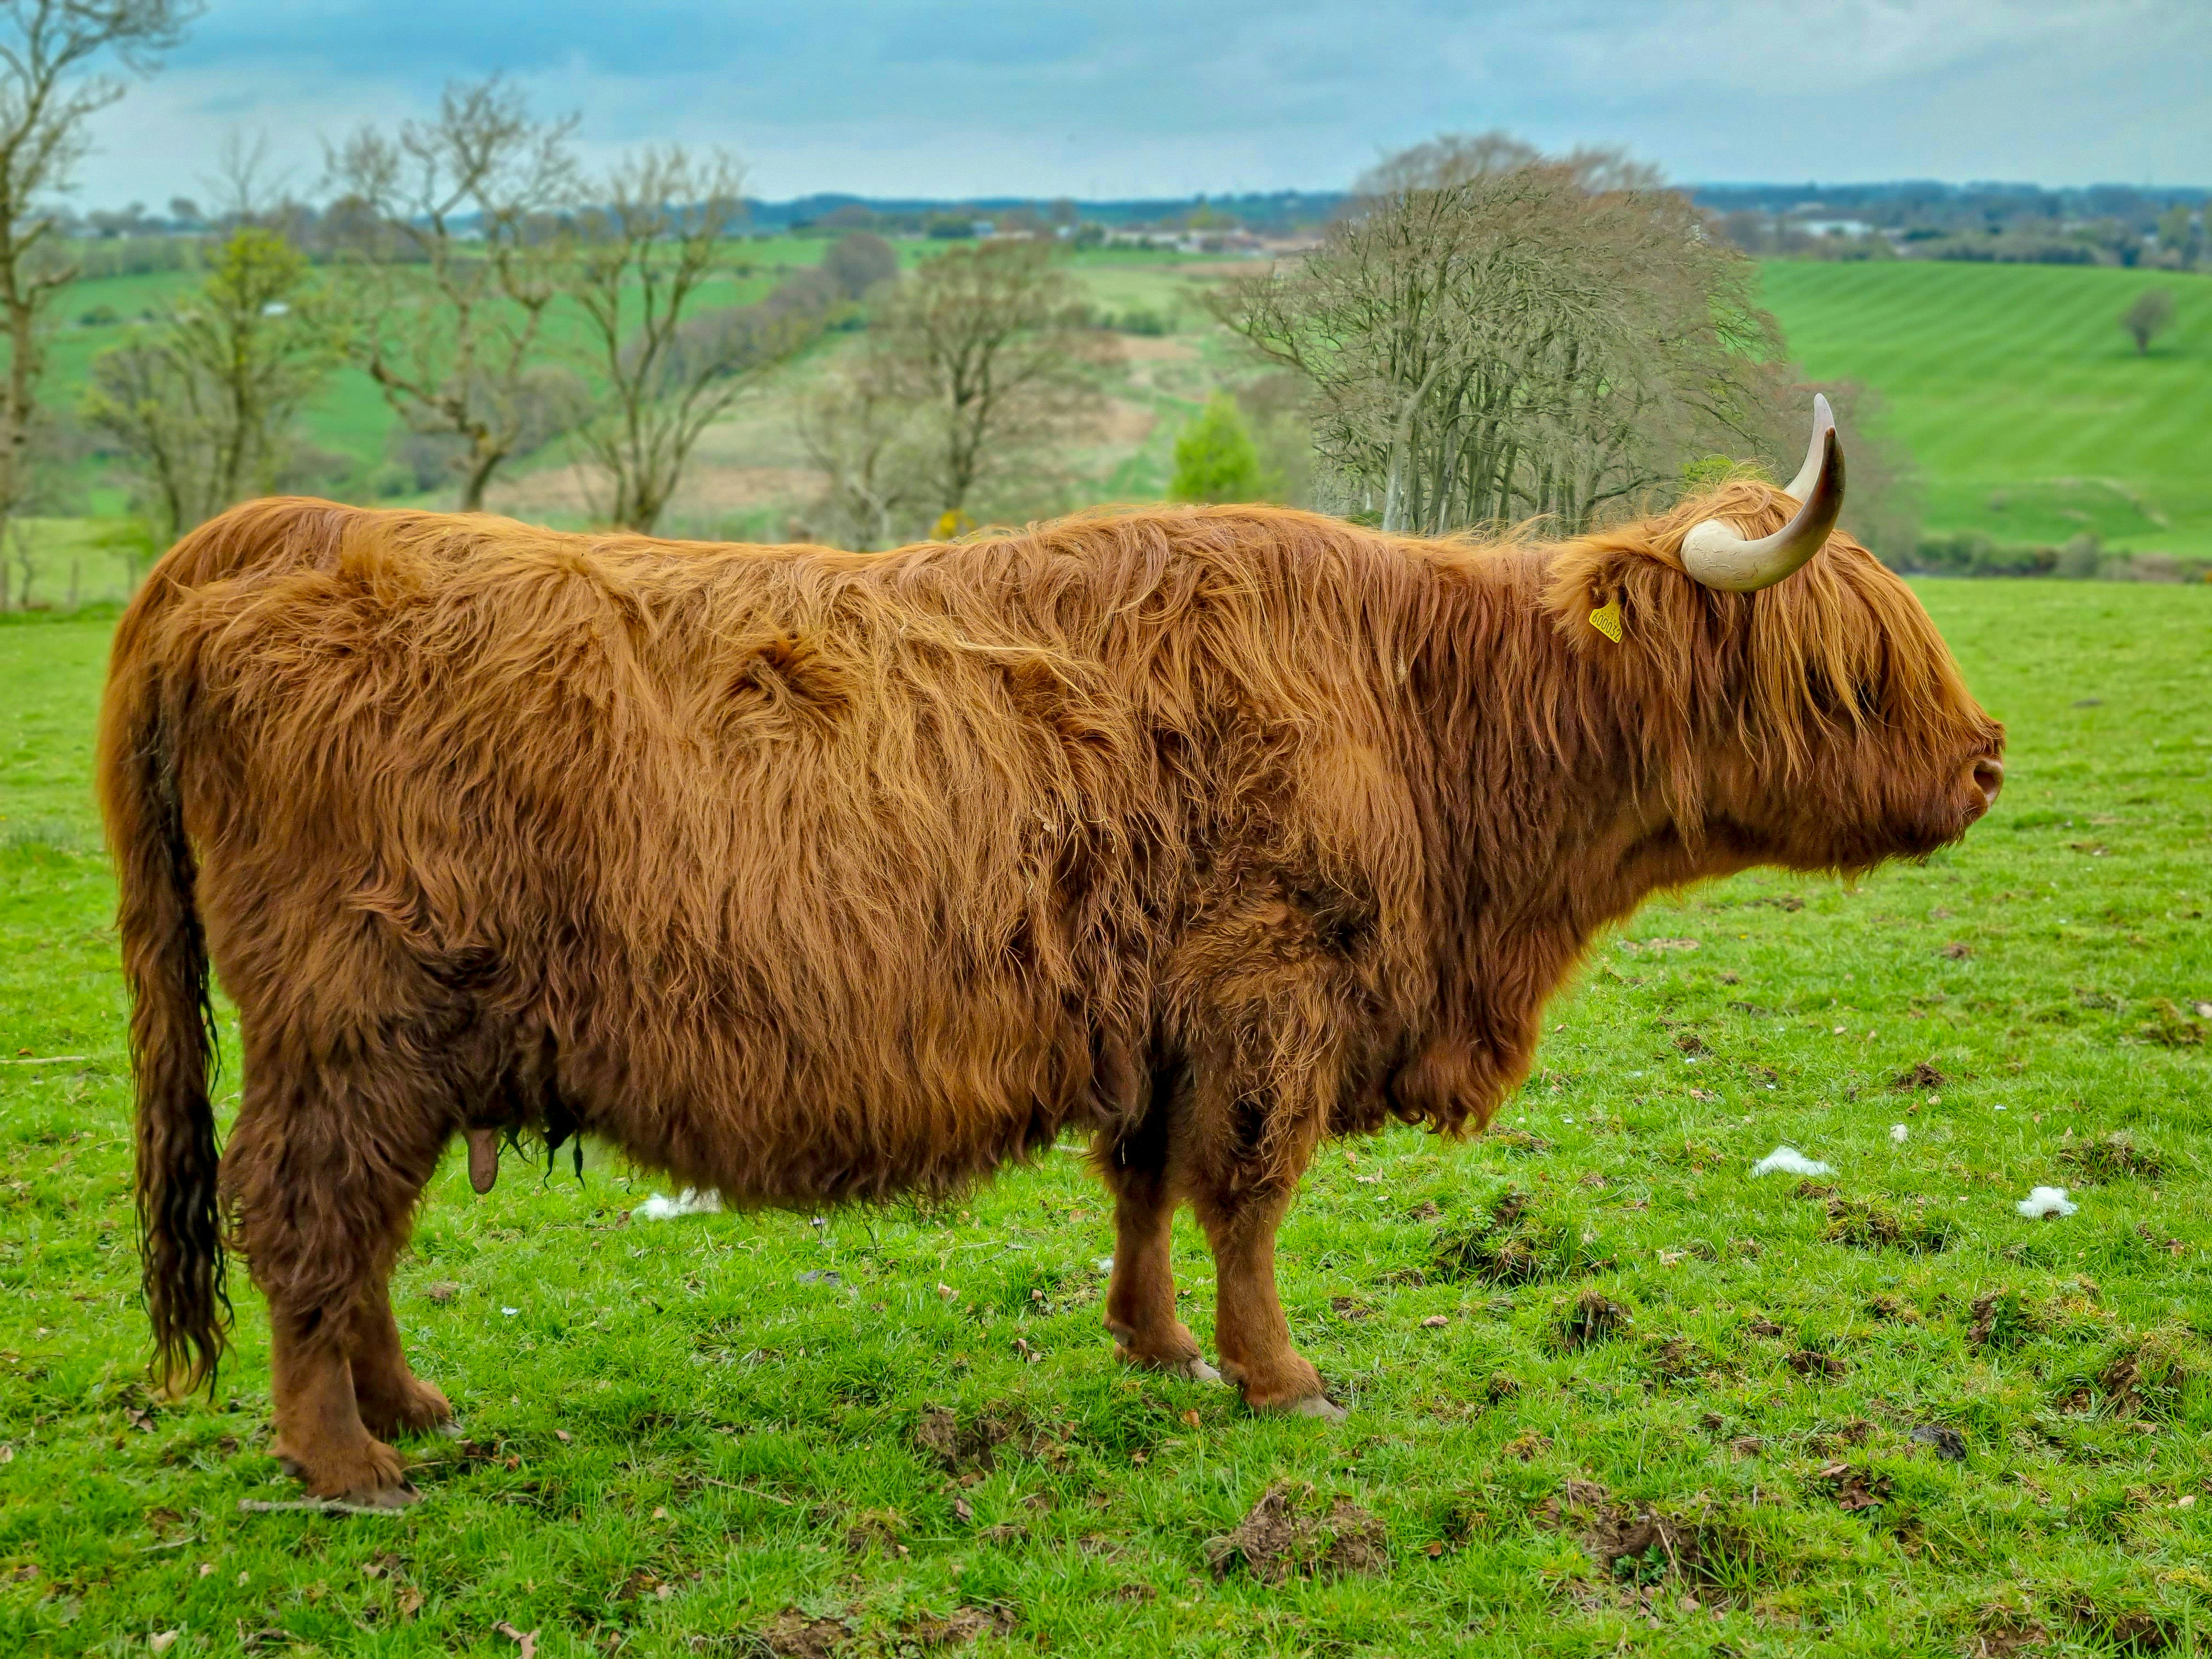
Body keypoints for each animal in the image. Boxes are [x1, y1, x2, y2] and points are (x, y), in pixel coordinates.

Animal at [102, 400, 2004, 1503]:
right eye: (1848, 671)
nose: (1988, 760)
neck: (1435, 725)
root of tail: (274, 531)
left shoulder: (1165, 1018)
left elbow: (1149, 1187)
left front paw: (1155, 1351)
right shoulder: (1270, 998)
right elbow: (1247, 1200)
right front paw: (1281, 1382)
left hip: (404, 1041)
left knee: (361, 1228)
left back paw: (410, 1404)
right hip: (355, 1019)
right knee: (307, 1213)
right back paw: (344, 1460)